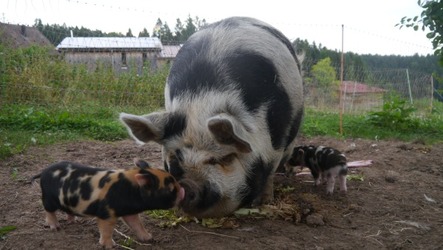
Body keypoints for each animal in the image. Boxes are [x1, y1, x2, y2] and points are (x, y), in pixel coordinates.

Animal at [119, 16, 304, 218]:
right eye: (175, 157)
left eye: (224, 158)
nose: (188, 186)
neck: (200, 104)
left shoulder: (277, 136)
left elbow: (269, 171)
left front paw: (264, 201)